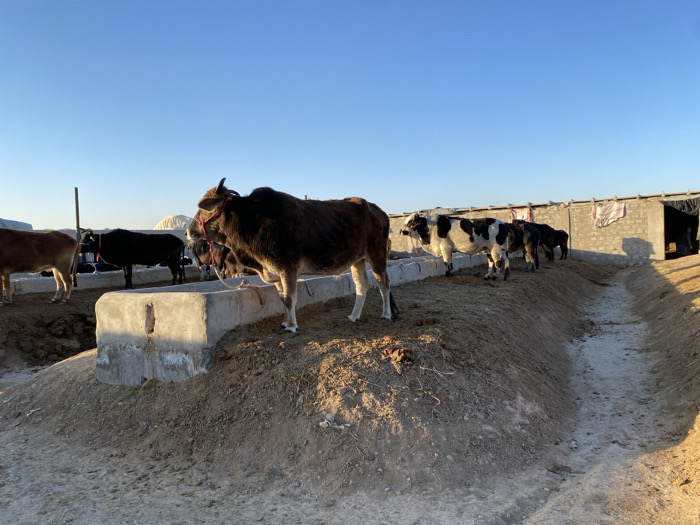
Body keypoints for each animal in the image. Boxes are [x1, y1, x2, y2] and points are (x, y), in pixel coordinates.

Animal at [185, 178, 398, 333]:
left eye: (204, 207)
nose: (187, 232)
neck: (252, 222)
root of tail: (378, 211)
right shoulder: (275, 272)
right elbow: (282, 299)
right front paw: (285, 322)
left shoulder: (287, 269)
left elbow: (289, 299)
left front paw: (292, 327)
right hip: (358, 260)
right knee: (362, 286)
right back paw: (353, 316)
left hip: (377, 255)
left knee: (384, 284)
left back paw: (386, 314)